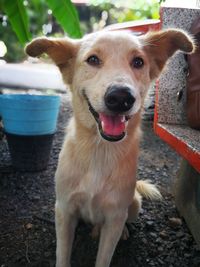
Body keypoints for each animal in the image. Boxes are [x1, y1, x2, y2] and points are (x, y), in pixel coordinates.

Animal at [25, 28, 195, 266]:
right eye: (93, 59)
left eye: (138, 61)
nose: (121, 98)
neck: (100, 150)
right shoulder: (64, 209)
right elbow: (63, 255)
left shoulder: (115, 216)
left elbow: (104, 257)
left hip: (134, 204)